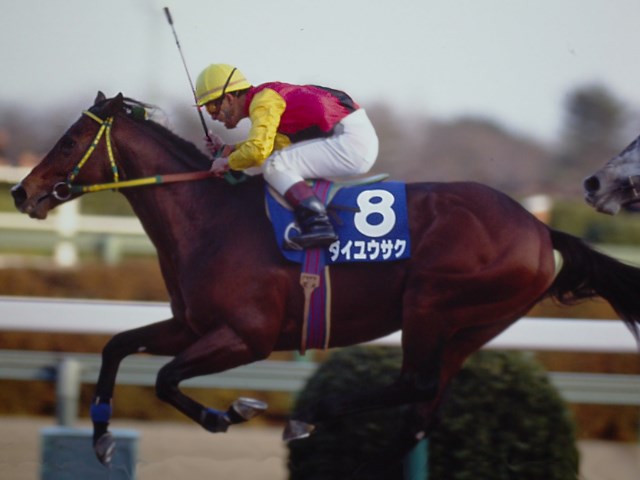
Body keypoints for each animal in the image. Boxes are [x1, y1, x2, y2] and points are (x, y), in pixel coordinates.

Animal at [12, 92, 640, 467]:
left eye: (69, 141)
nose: (21, 192)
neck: (210, 218)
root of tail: (537, 225)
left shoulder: (248, 336)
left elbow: (166, 379)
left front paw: (227, 413)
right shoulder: (190, 323)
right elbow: (116, 345)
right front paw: (100, 435)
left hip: (433, 305)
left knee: (415, 385)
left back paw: (307, 418)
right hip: (473, 326)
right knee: (423, 402)